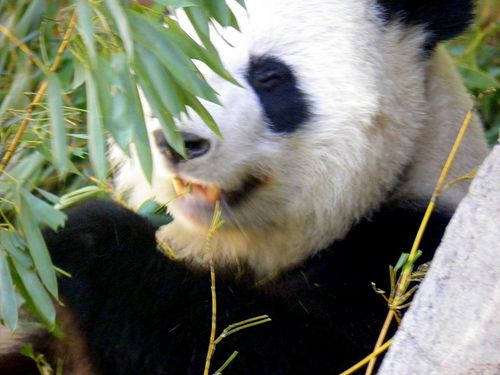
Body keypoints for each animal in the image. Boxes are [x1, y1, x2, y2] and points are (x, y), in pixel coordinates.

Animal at [0, 0, 488, 375]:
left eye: (269, 77)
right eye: (178, 61)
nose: (179, 142)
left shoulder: (410, 258)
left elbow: (279, 351)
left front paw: (78, 237)